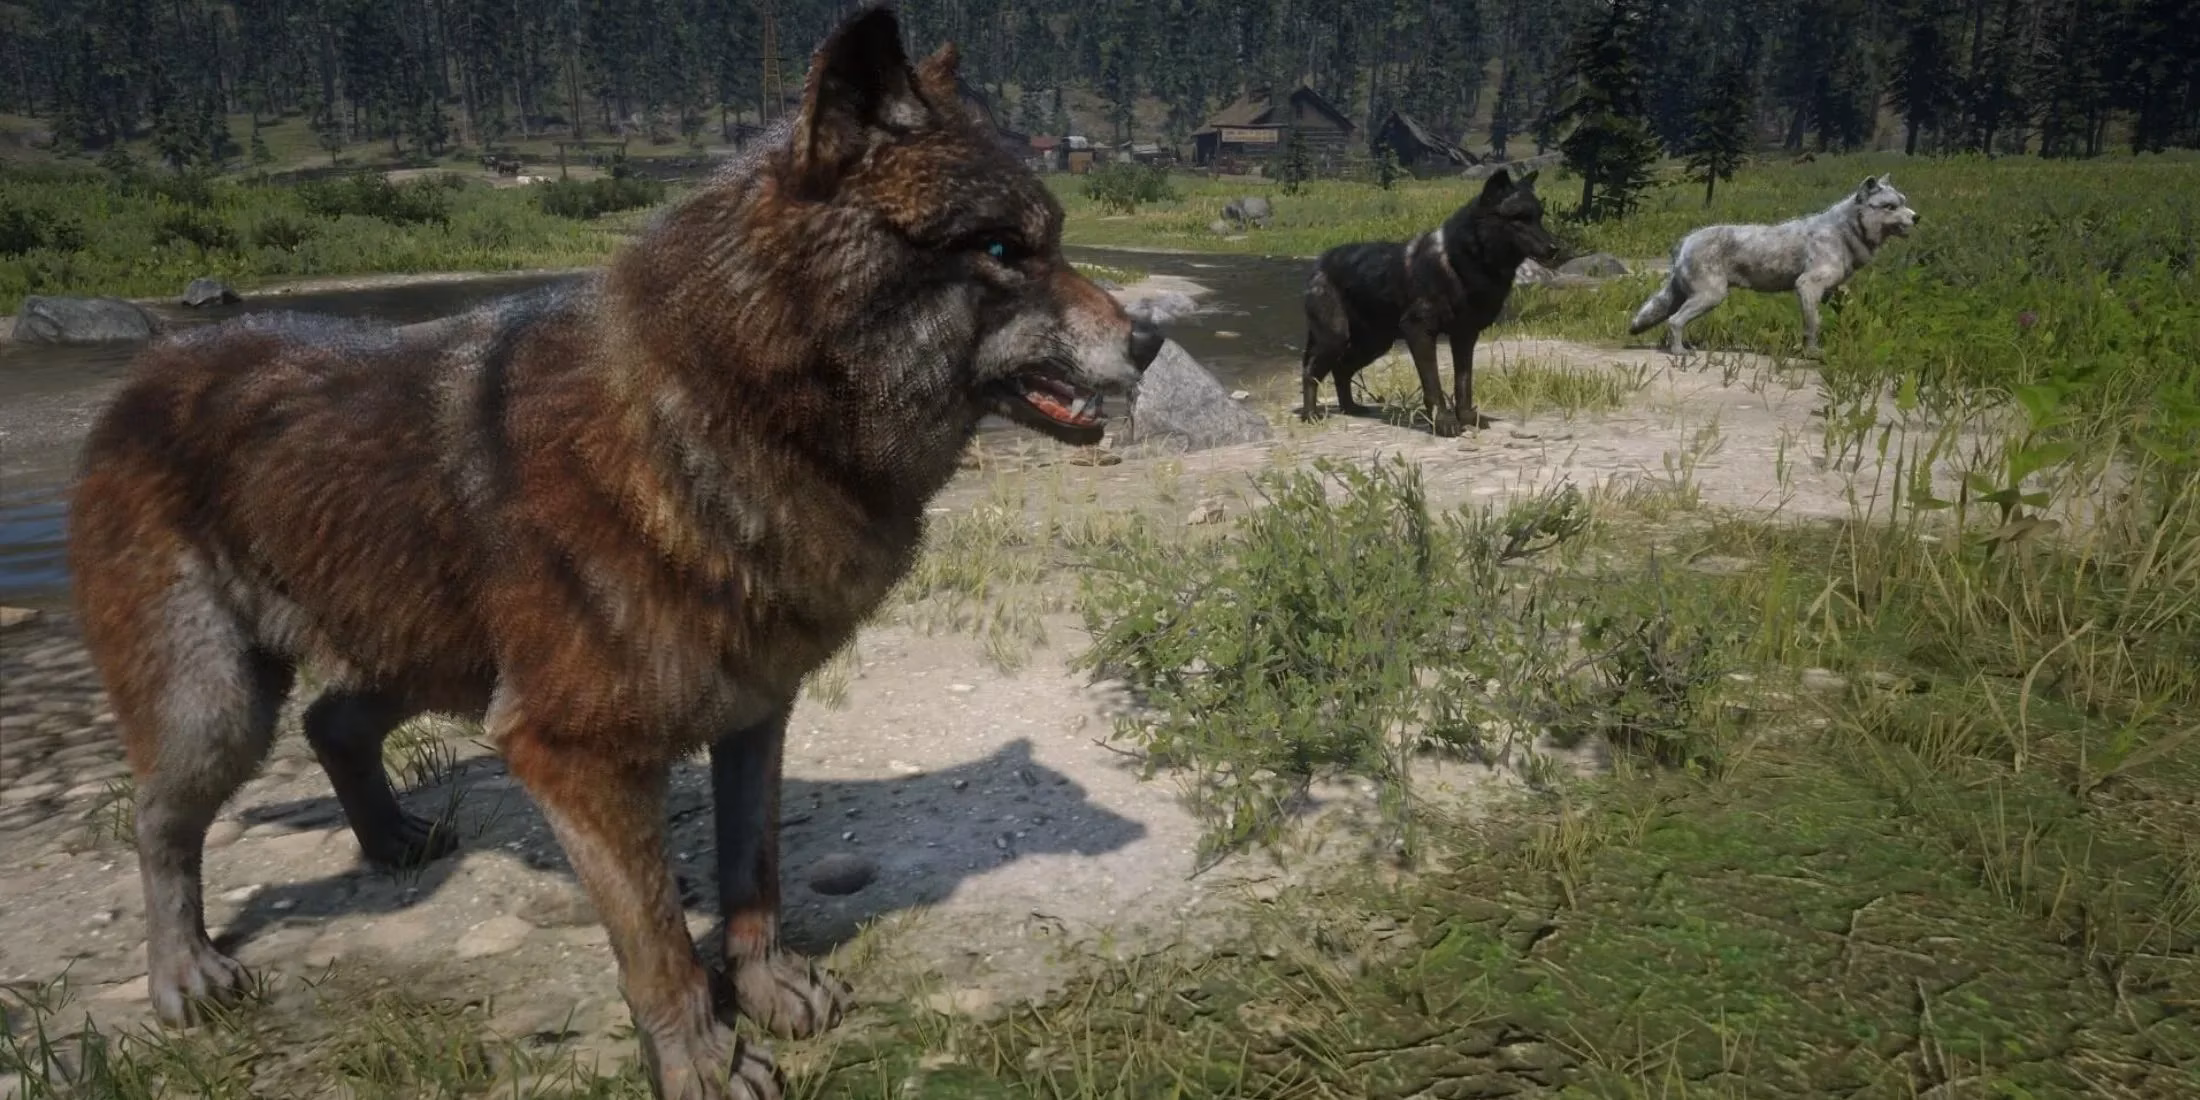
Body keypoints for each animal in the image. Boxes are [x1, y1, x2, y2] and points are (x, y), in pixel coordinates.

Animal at [63, 7, 1161, 1100]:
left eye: (1056, 240)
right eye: (1002, 249)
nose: (1150, 339)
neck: (732, 401)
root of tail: (141, 372)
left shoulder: (753, 713)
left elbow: (752, 872)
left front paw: (768, 987)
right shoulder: (570, 752)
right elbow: (658, 939)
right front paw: (702, 1059)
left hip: (419, 656)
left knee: (332, 721)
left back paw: (392, 839)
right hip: (222, 708)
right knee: (158, 821)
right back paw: (184, 973)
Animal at [1297, 168, 1561, 435]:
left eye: (1539, 217)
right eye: (1519, 218)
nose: (1554, 248)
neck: (1458, 262)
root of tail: (1320, 263)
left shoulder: (1465, 337)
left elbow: (1463, 383)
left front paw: (1466, 418)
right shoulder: (1420, 332)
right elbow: (1433, 385)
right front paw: (1444, 423)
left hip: (1374, 344)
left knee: (1341, 368)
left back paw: (1350, 408)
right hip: (1336, 339)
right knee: (1310, 373)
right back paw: (1311, 414)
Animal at [1629, 174, 1919, 356]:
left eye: (1904, 202)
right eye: (1890, 206)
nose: (1917, 217)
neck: (1844, 232)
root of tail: (1684, 241)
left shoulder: (1832, 291)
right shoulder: (1807, 287)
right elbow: (1813, 324)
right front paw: (1812, 353)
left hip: (1690, 297)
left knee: (1670, 320)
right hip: (1710, 297)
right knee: (1675, 321)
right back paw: (1679, 352)